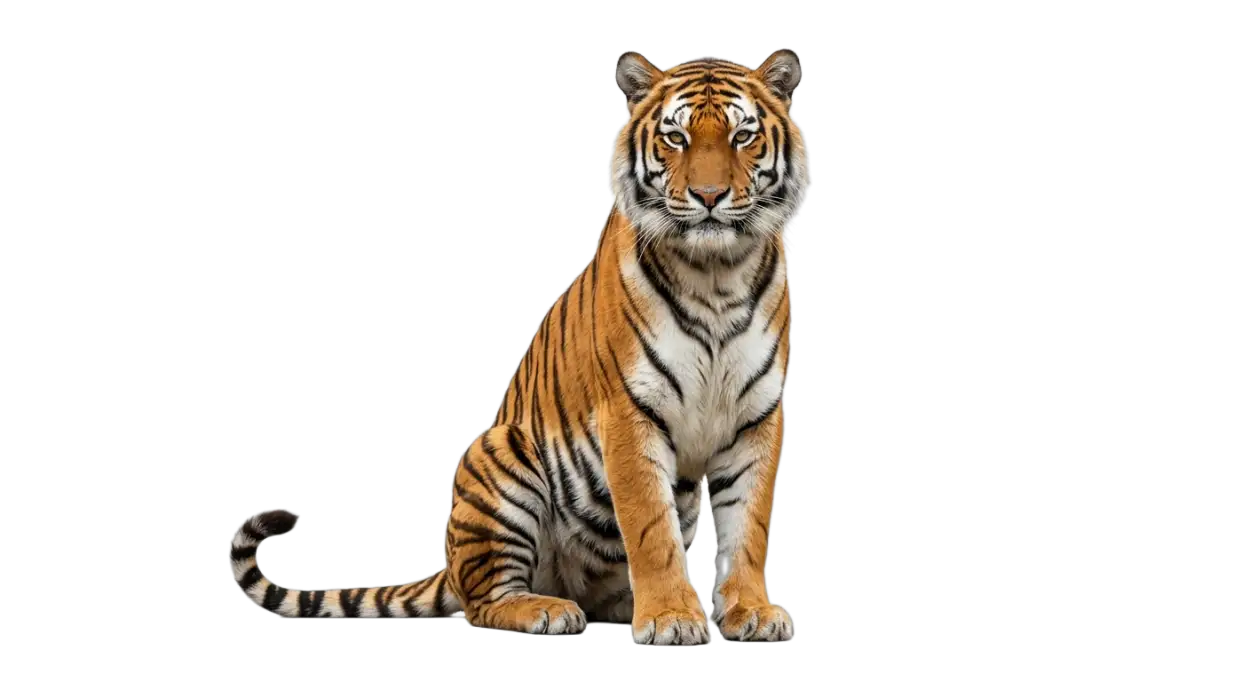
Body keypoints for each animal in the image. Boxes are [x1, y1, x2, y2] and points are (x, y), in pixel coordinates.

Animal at [229, 48, 810, 646]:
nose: (710, 197)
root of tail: (450, 566)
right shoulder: (630, 412)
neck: (717, 274)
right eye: (676, 138)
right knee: (484, 598)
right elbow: (652, 531)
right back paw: (547, 610)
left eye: (742, 136)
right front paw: (671, 617)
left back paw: (626, 604)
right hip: (504, 454)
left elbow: (747, 528)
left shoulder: (756, 416)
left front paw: (751, 611)